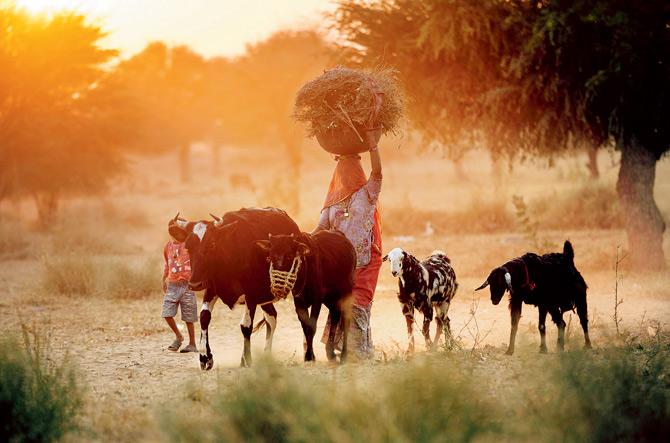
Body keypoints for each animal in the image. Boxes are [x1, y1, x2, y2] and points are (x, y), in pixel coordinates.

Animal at [172, 210, 300, 370]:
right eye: (188, 246)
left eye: (212, 244)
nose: (195, 284)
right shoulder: (211, 289)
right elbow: (204, 317)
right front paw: (205, 357)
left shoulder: (251, 295)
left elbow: (246, 326)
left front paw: (247, 360)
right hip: (264, 298)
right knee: (272, 318)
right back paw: (266, 355)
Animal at [258, 231, 356, 362]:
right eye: (270, 257)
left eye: (289, 256)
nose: (278, 286)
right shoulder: (299, 301)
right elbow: (305, 327)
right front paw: (308, 356)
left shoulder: (316, 301)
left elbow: (312, 327)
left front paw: (309, 355)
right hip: (330, 299)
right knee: (335, 314)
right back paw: (330, 353)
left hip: (346, 293)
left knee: (346, 319)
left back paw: (344, 356)